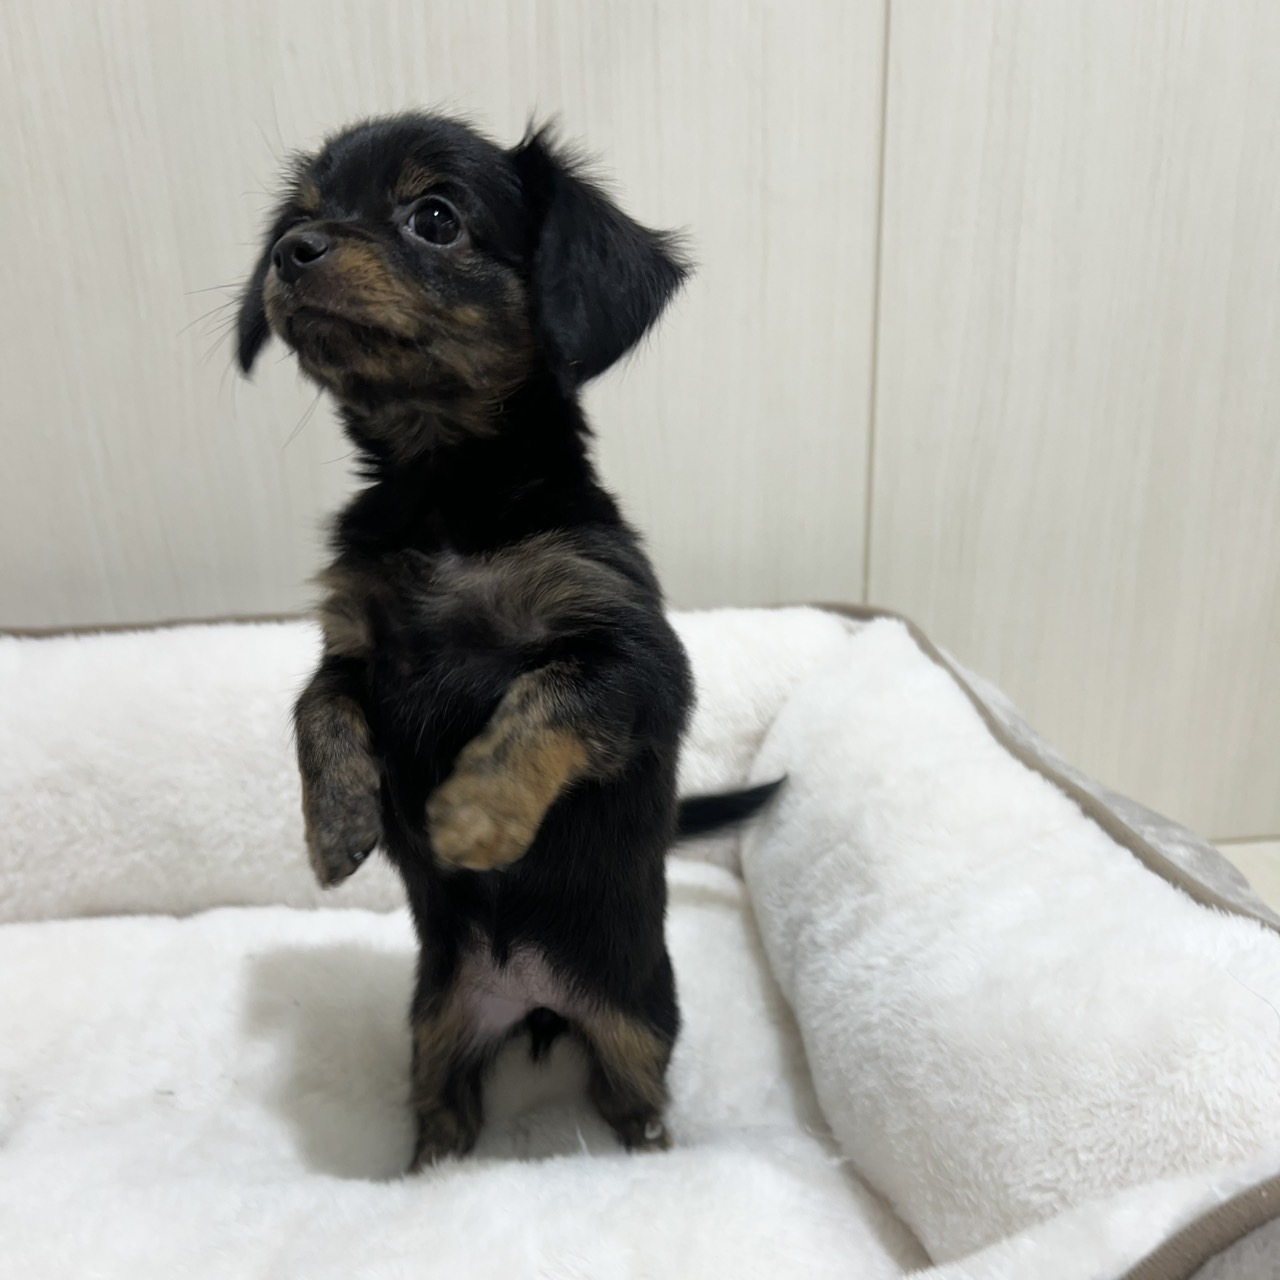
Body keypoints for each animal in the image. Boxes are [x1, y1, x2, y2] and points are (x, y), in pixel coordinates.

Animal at [236, 113, 780, 1166]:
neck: (445, 487)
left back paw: (647, 1148)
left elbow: (542, 700)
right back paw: (425, 1173)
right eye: (298, 218)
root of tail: (533, 996)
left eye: (435, 218)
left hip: (636, 1020)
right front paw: (339, 825)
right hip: (438, 1023)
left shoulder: (633, 661)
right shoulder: (353, 644)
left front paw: (472, 819)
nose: (293, 252)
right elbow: (314, 709)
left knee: (635, 1099)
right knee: (446, 1116)